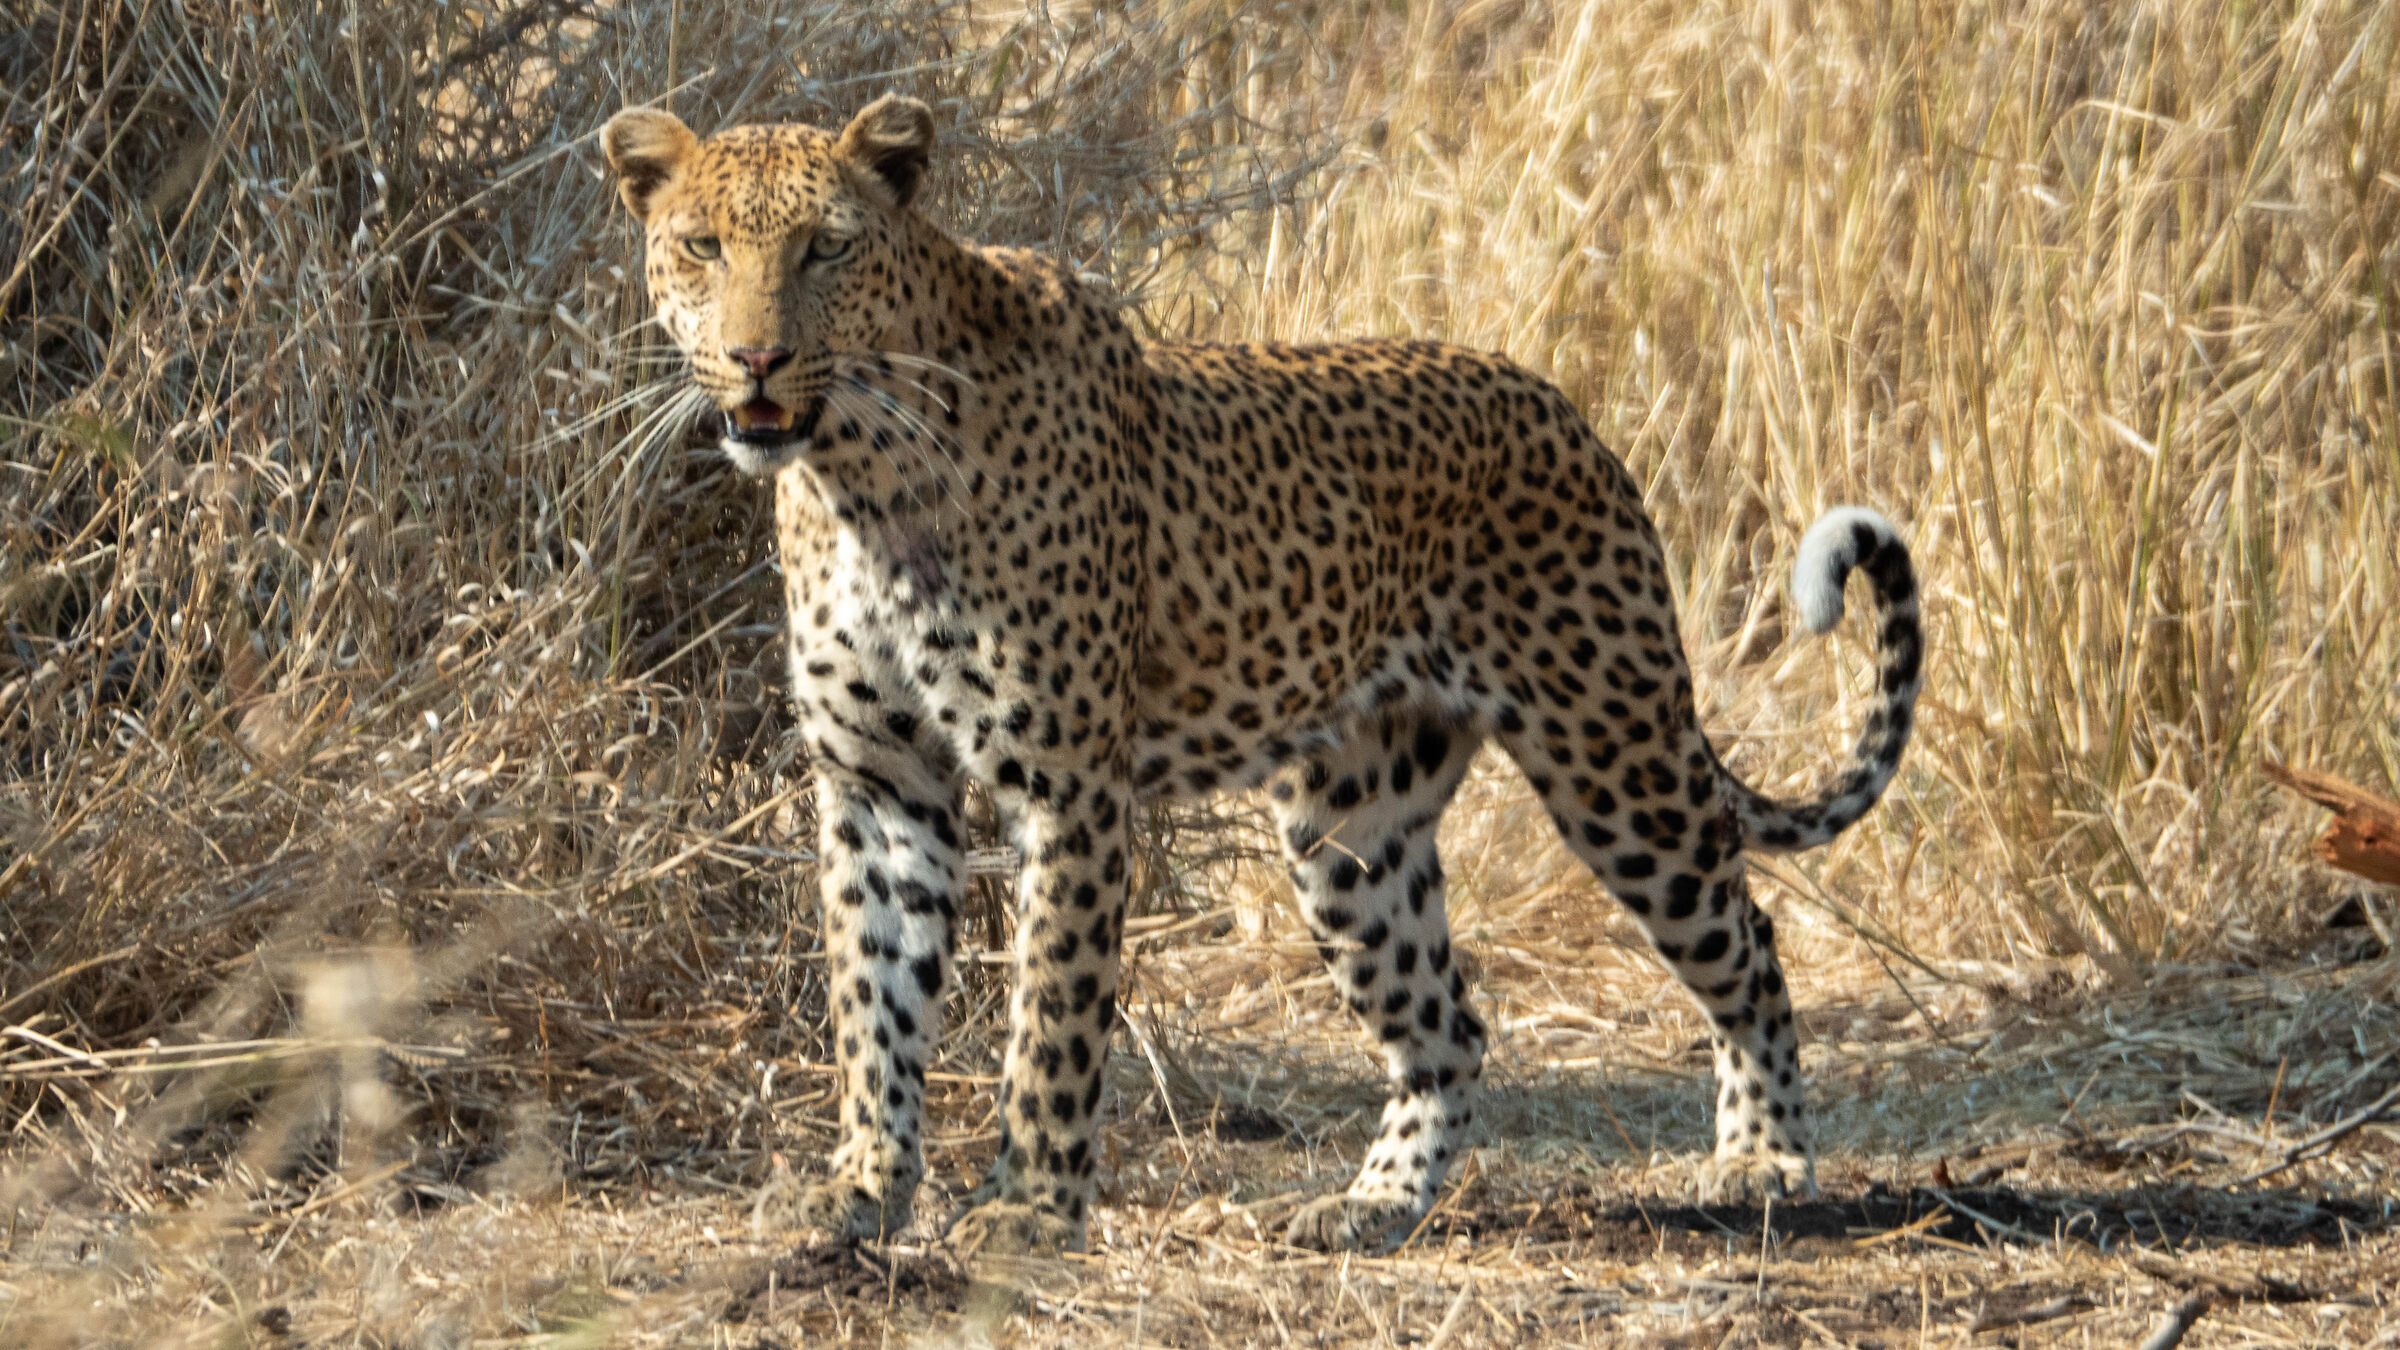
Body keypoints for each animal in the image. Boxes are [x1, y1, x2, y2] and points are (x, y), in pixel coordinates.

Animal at [599, 94, 1922, 1256]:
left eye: (827, 247)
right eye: (702, 246)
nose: (756, 358)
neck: (861, 479)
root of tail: (1568, 412)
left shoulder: (1068, 789)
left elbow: (1051, 1016)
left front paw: (1029, 1209)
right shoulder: (880, 786)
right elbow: (872, 1002)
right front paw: (862, 1189)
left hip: (1616, 756)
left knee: (1743, 936)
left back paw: (1763, 1161)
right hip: (1351, 835)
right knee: (1448, 1026)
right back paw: (1370, 1208)